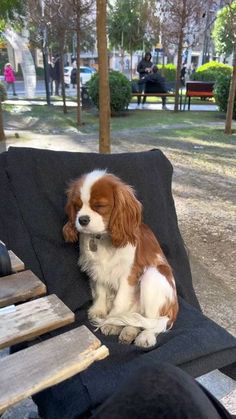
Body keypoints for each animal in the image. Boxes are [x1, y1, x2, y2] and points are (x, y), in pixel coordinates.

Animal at [63, 169, 179, 350]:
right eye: (77, 206)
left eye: (100, 206)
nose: (82, 219)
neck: (102, 238)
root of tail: (174, 309)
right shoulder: (97, 270)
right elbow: (100, 291)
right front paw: (99, 311)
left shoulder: (128, 275)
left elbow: (119, 301)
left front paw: (110, 321)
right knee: (138, 320)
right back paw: (128, 331)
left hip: (153, 275)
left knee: (153, 322)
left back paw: (144, 336)